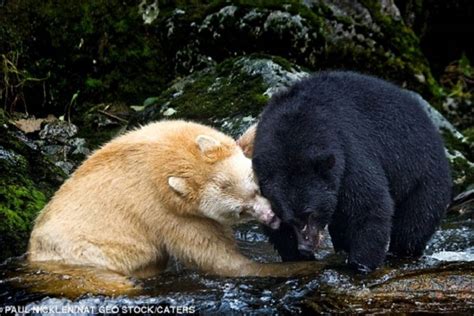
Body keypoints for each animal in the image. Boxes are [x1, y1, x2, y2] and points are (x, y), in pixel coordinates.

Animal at [252, 71, 452, 272]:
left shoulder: (348, 152)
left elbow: (369, 205)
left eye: (310, 212)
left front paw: (361, 264)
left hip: (424, 179)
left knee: (413, 224)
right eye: (289, 218)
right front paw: (296, 257)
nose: (305, 247)